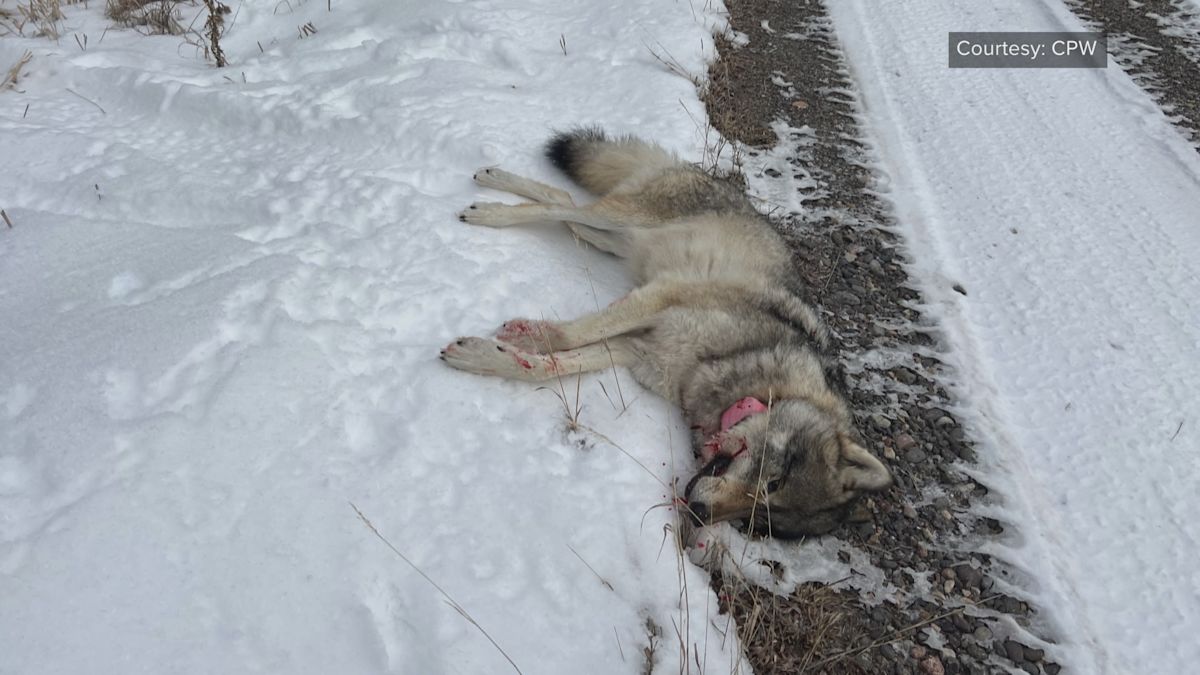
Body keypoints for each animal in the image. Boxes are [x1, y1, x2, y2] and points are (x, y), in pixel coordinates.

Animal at [440, 128, 891, 537]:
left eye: (754, 525)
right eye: (773, 483)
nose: (699, 515)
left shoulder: (636, 348)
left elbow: (552, 366)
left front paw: (489, 354)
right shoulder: (659, 298)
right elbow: (570, 337)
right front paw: (523, 337)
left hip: (610, 239)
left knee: (565, 205)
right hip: (620, 218)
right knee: (558, 207)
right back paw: (488, 202)